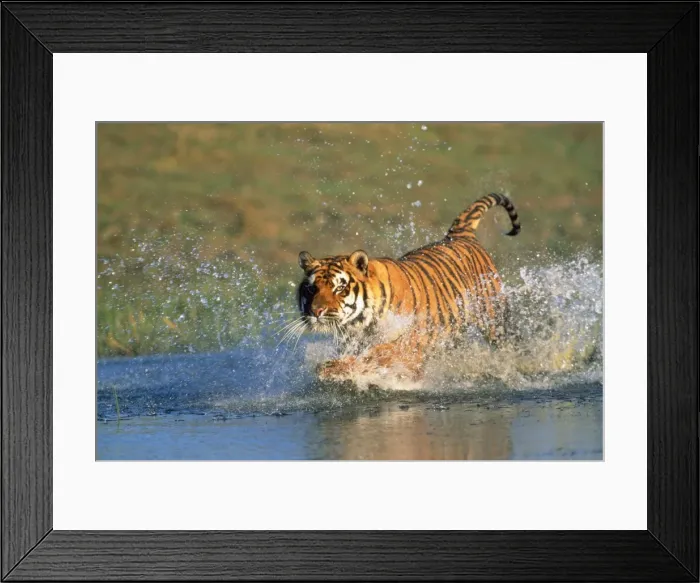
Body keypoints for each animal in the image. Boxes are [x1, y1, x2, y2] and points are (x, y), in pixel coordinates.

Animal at [296, 193, 520, 382]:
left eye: (339, 289)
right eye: (311, 289)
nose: (316, 312)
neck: (361, 323)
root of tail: (459, 235)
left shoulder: (410, 340)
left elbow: (379, 355)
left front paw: (337, 369)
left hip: (495, 320)